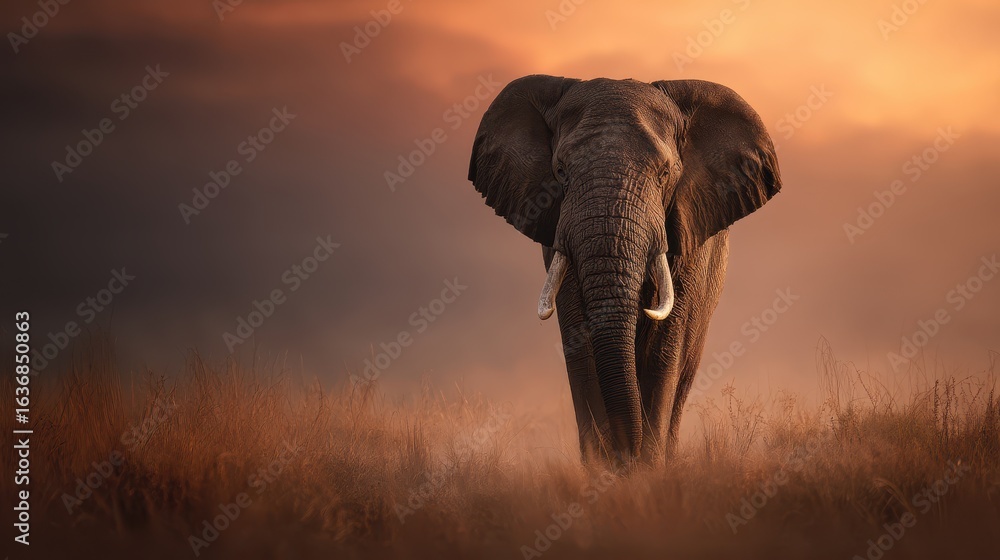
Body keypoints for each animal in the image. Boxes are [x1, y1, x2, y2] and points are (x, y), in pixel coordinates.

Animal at [467, 75, 781, 467]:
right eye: (560, 171)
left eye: (665, 174)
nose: (625, 455)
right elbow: (582, 346)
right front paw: (605, 470)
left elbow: (662, 349)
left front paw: (645, 470)